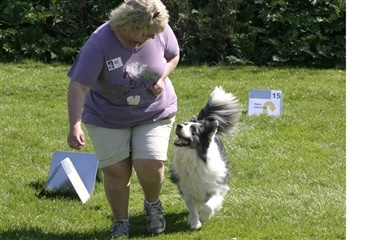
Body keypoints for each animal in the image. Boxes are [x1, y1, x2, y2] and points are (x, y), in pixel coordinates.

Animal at [170, 86, 243, 229]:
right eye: (185, 124)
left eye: (193, 130)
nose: (179, 125)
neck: (194, 157)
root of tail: (202, 120)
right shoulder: (186, 189)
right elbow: (192, 208)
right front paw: (194, 223)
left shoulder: (218, 187)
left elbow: (209, 205)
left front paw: (204, 217)